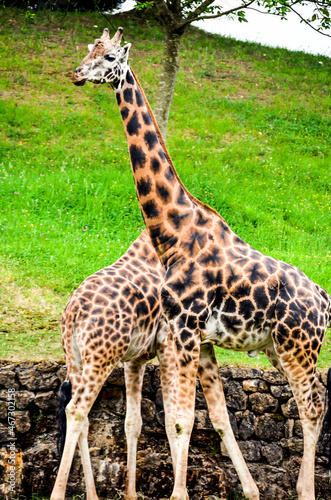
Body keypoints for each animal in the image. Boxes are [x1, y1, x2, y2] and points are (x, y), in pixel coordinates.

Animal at [72, 28, 331, 500]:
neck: (173, 231)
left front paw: (180, 493)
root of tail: (323, 298)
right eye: (88, 51)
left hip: (298, 347)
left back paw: (305, 489)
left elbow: (181, 420)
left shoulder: (186, 329)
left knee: (312, 406)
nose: (78, 74)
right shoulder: (195, 336)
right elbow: (203, 418)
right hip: (280, 349)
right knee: (316, 401)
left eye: (111, 57)